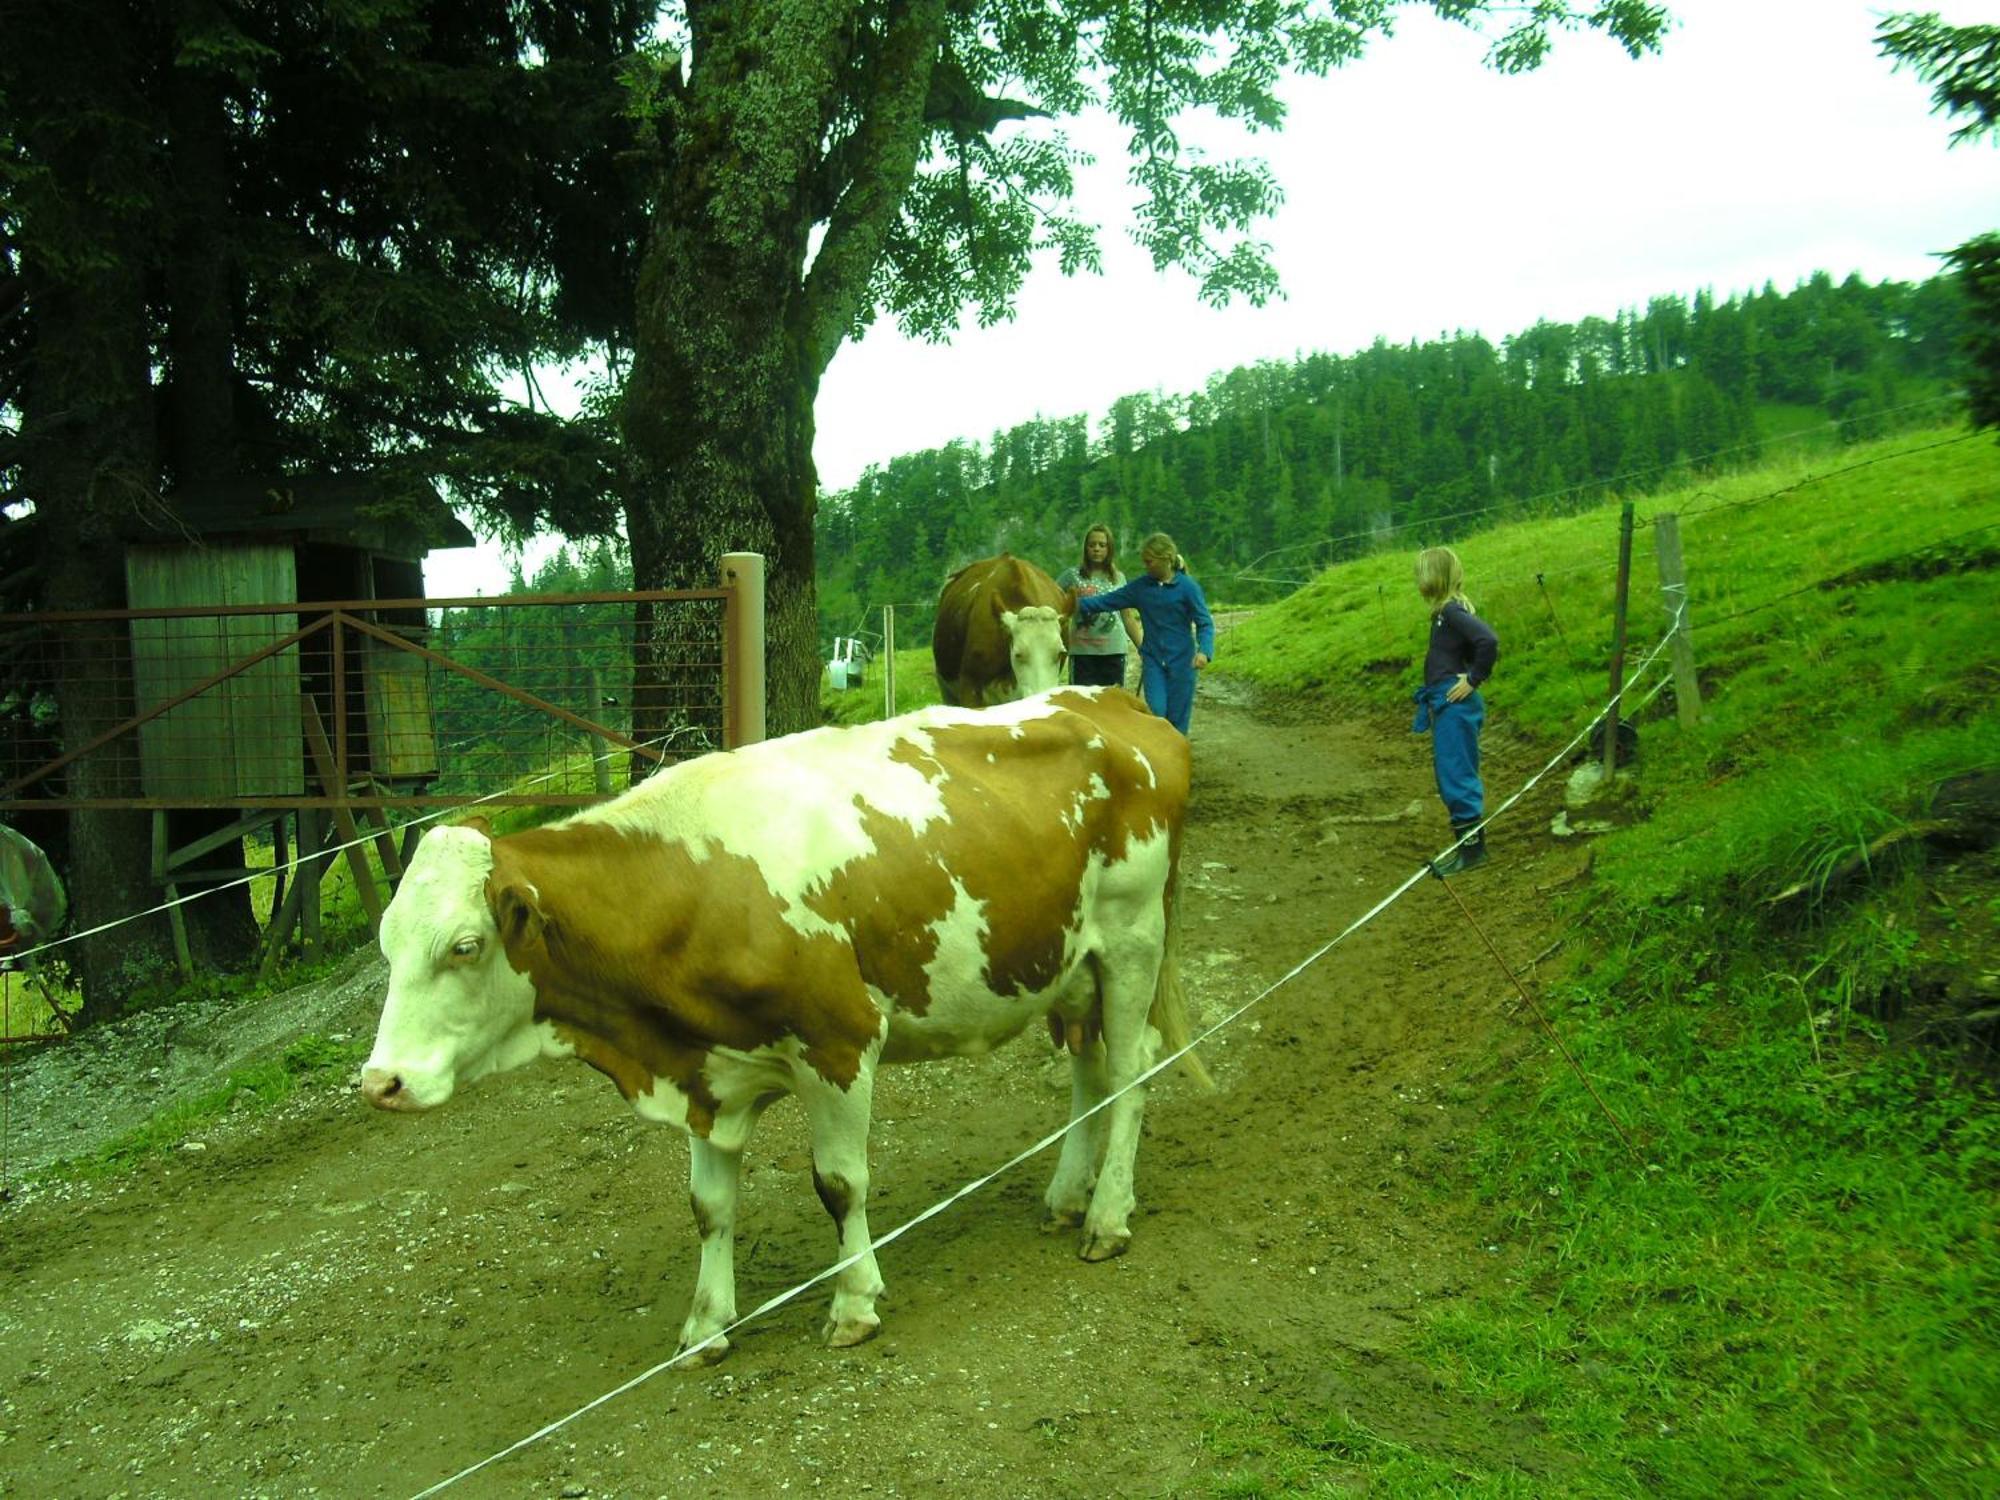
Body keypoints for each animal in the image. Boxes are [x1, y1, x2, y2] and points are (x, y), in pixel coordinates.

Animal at [360, 692, 1192, 1360]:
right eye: (387, 942)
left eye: (464, 946)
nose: (380, 1083)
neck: (697, 890)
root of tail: (1108, 701)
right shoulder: (704, 1068)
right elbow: (708, 1206)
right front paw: (706, 1327)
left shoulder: (840, 1042)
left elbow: (839, 1183)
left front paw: (854, 1302)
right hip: (1067, 964)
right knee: (1088, 1069)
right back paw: (1067, 1195)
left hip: (1132, 937)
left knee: (1130, 1072)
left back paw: (1107, 1215)